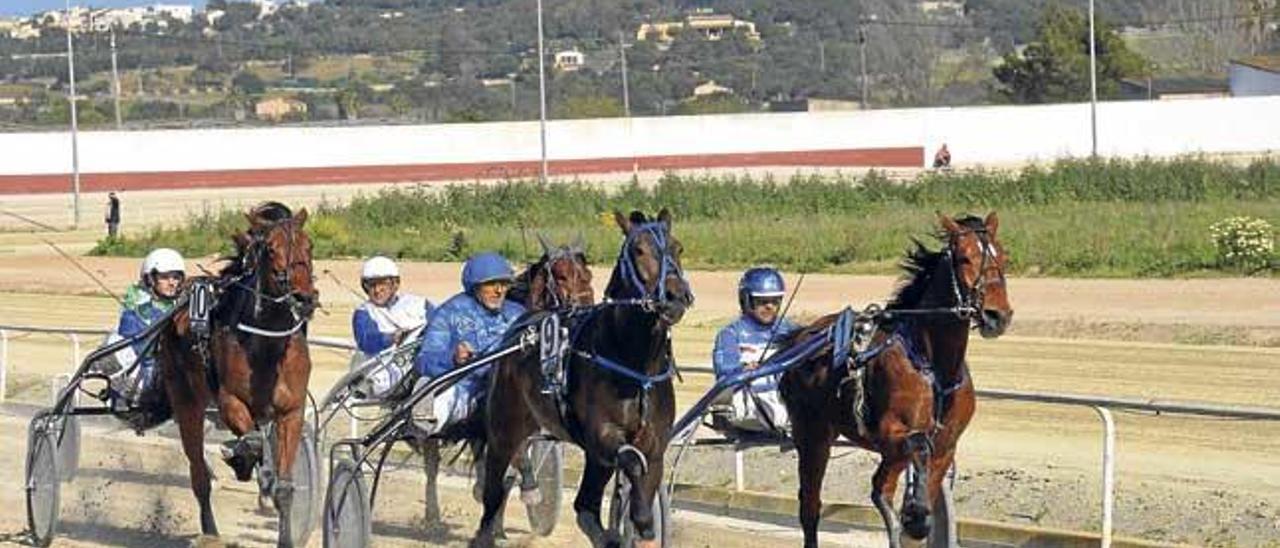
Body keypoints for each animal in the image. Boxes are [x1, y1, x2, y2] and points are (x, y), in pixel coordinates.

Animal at [156, 202, 317, 548]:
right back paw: (211, 531)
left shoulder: (291, 411)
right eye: (271, 249)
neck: (268, 342)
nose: (304, 298)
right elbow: (253, 440)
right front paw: (248, 463)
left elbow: (285, 487)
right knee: (199, 474)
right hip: (186, 401)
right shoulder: (229, 400)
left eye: (309, 245)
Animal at [473, 207, 691, 545]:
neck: (635, 365)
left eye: (677, 248)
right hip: (503, 430)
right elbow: (631, 461)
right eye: (638, 250)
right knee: (494, 492)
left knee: (583, 506)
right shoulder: (602, 438)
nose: (676, 296)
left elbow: (642, 503)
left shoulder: (654, 443)